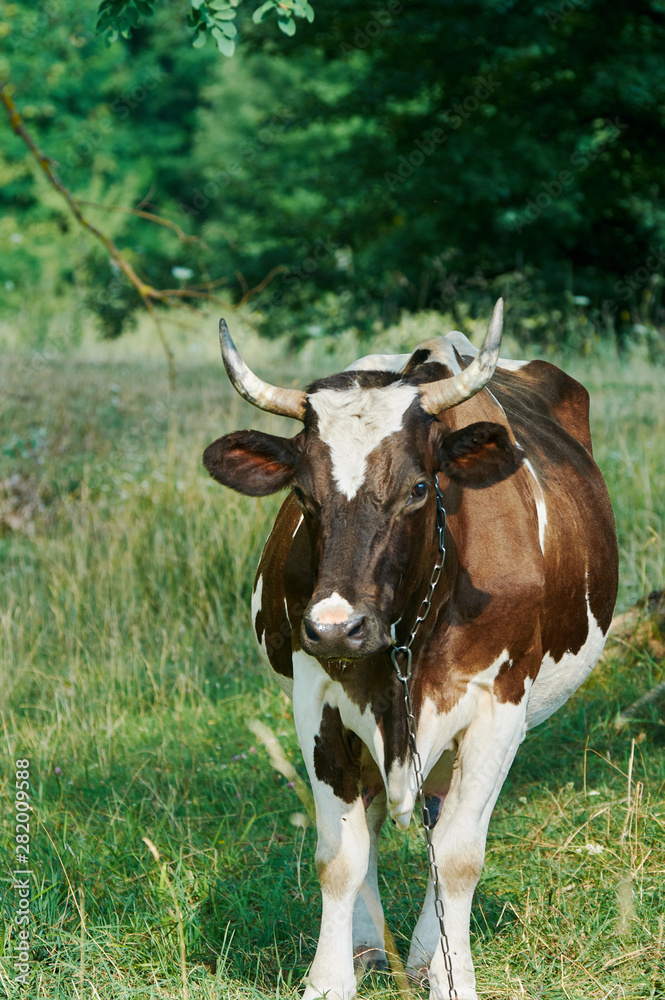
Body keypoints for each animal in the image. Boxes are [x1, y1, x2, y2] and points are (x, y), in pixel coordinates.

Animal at [202, 298, 616, 1000]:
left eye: (420, 488)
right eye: (303, 493)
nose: (335, 627)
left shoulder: (498, 707)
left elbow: (458, 856)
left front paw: (451, 976)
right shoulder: (318, 699)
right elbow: (340, 857)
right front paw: (330, 980)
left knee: (442, 824)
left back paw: (428, 952)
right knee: (374, 823)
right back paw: (374, 947)